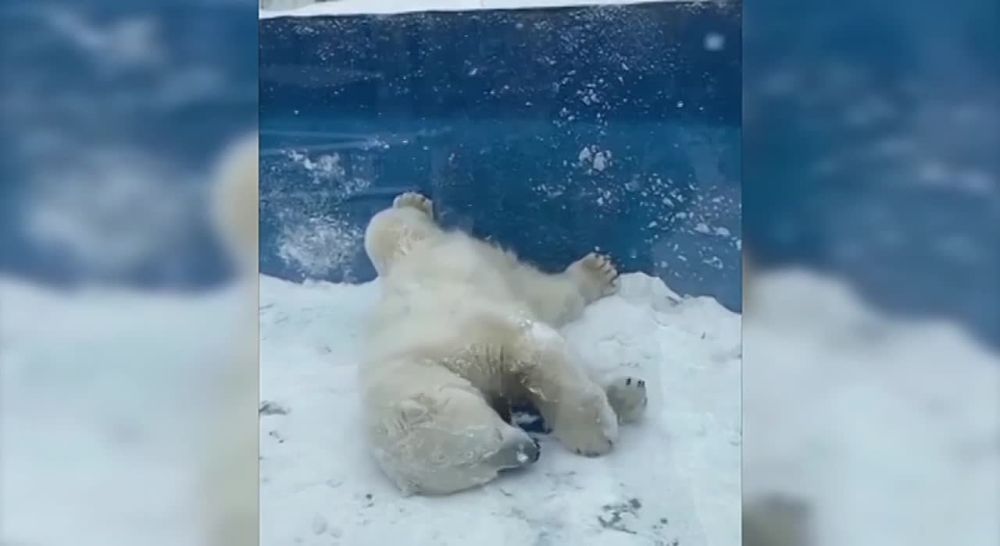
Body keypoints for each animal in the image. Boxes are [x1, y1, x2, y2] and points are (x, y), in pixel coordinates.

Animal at [364, 191, 644, 492]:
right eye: (486, 467)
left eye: (487, 440)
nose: (533, 451)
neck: (413, 361)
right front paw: (626, 394)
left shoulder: (464, 338)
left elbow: (534, 354)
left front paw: (595, 433)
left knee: (384, 229)